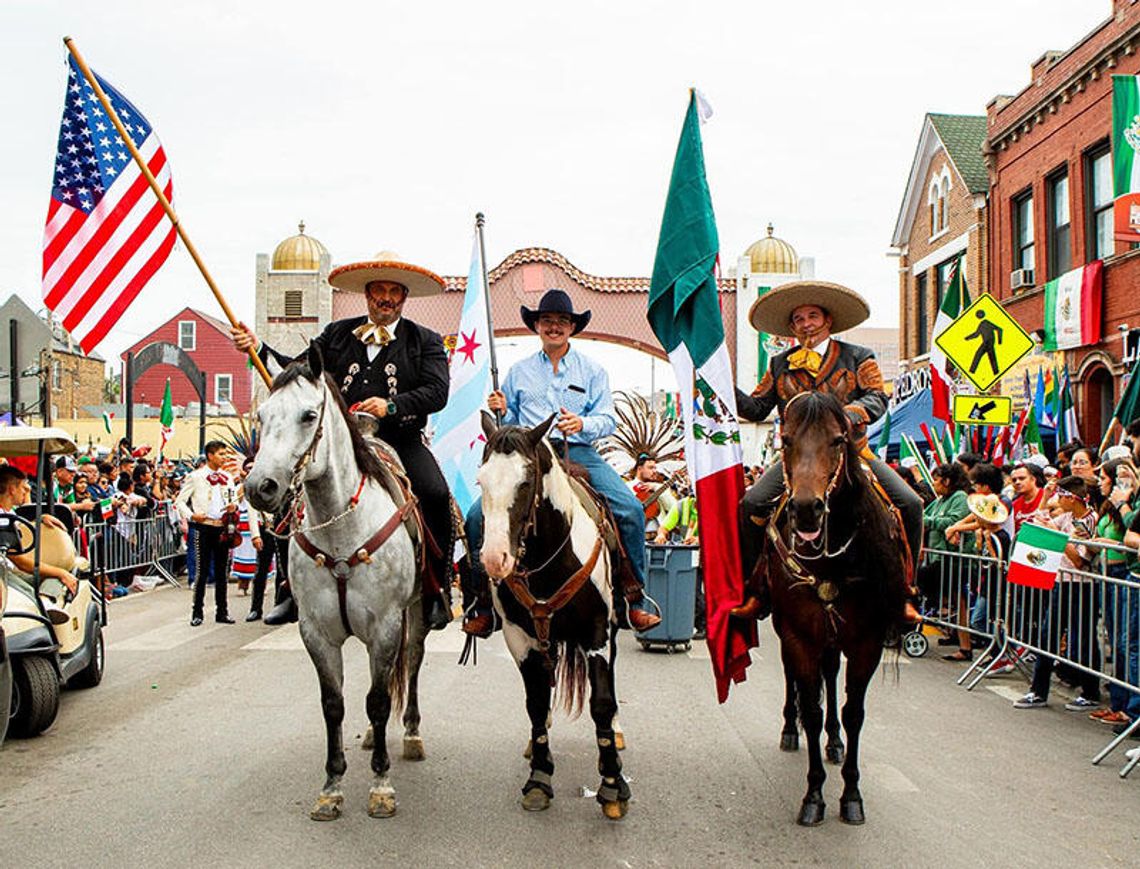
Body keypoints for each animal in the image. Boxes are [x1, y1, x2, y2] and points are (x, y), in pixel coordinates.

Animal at [246, 344, 428, 821]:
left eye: (309, 415)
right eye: (262, 416)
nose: (259, 488)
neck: (340, 529)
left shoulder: (386, 626)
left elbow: (379, 700)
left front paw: (381, 785)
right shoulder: (317, 632)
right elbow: (334, 704)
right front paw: (331, 786)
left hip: (417, 613)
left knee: (412, 663)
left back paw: (411, 734)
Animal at [474, 412, 633, 821]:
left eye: (526, 481)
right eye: (481, 479)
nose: (494, 559)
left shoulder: (597, 635)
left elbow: (601, 704)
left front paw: (613, 785)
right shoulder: (521, 638)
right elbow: (535, 703)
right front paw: (539, 778)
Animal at [766, 392, 907, 825]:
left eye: (839, 439)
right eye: (786, 439)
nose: (806, 509)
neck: (832, 561)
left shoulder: (867, 642)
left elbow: (853, 712)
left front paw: (851, 795)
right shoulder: (798, 634)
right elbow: (811, 708)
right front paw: (814, 795)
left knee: (831, 676)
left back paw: (834, 742)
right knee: (795, 676)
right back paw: (789, 729)